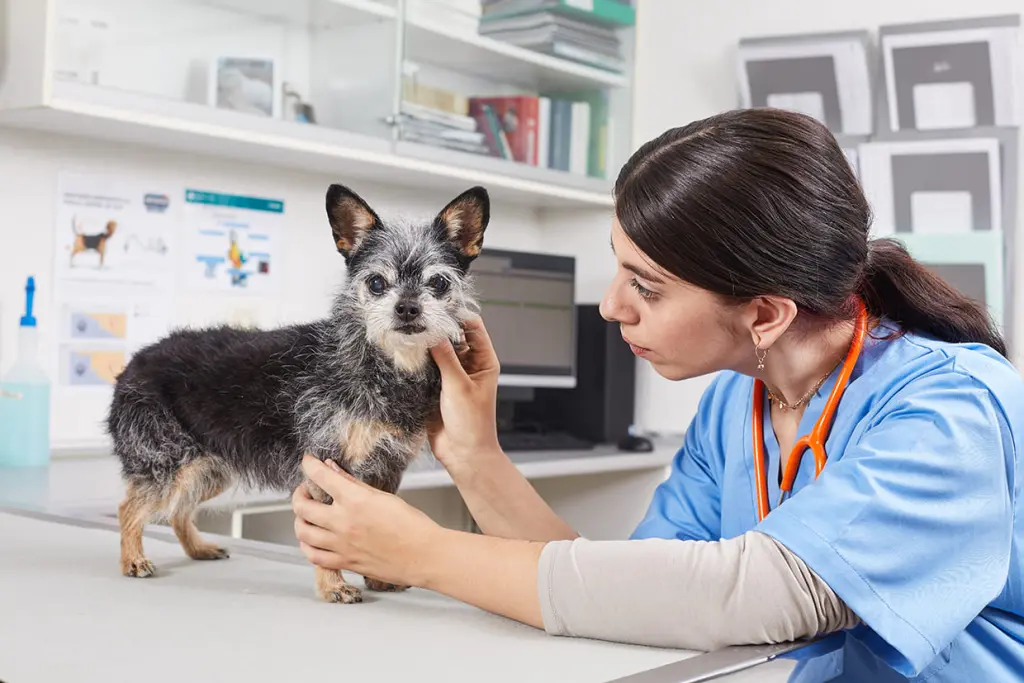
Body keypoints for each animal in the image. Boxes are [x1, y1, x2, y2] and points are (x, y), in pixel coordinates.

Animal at [105, 183, 489, 602]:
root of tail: (132, 364)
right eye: (376, 283)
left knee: (178, 511)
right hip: (168, 464)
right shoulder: (326, 465)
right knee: (129, 508)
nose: (406, 308)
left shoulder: (388, 468)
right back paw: (132, 560)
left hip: (208, 471)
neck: (384, 365)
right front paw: (334, 585)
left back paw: (198, 548)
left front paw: (378, 577)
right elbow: (326, 542)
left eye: (438, 283)